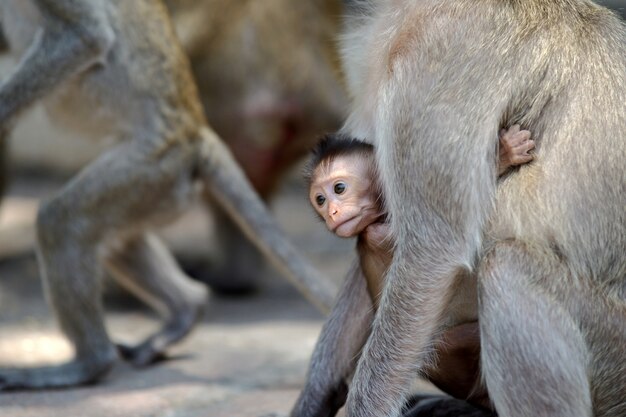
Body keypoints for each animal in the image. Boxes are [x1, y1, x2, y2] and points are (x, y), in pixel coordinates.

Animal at [0, 0, 334, 388]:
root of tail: (196, 130)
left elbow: (84, 37)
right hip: (163, 184)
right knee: (114, 239)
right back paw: (187, 308)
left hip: (156, 165)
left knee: (63, 221)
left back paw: (88, 364)